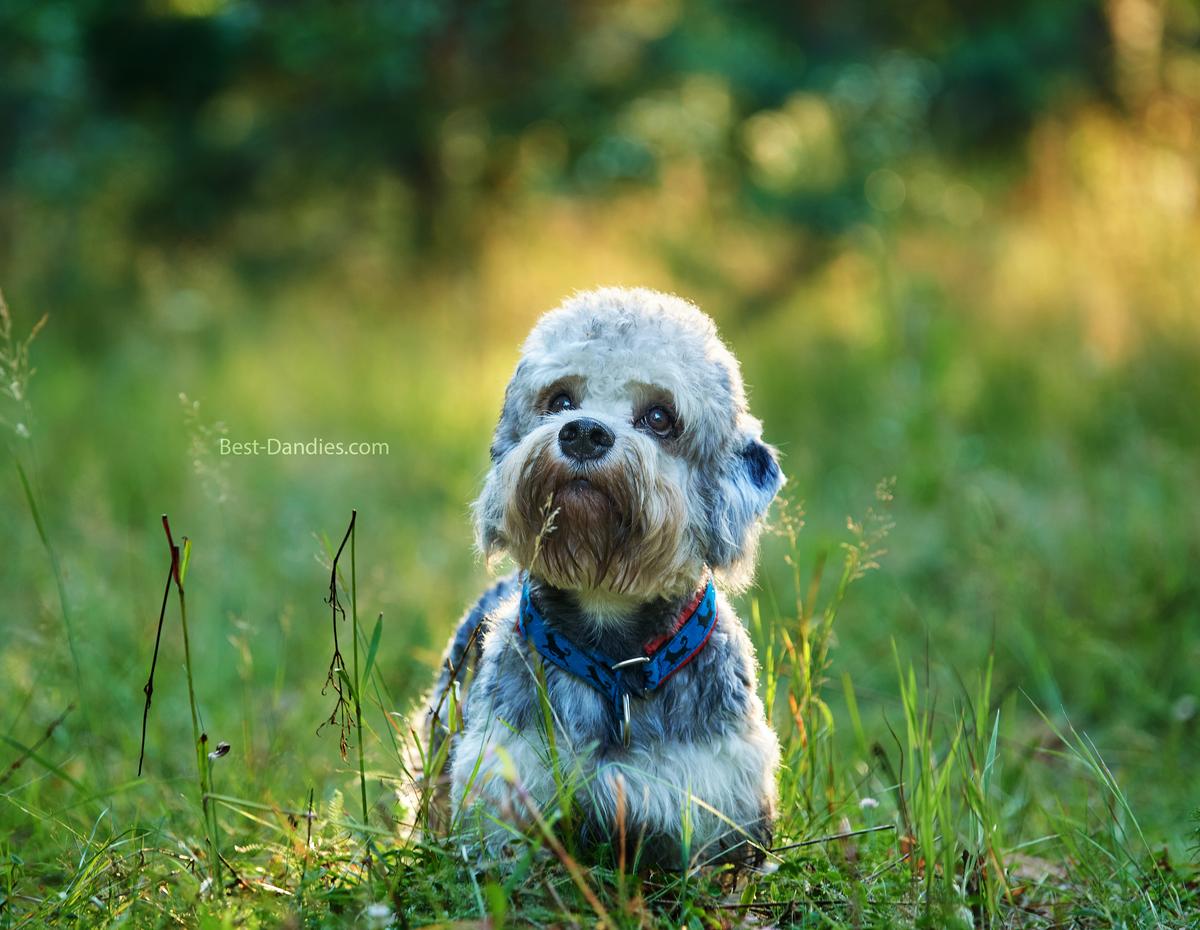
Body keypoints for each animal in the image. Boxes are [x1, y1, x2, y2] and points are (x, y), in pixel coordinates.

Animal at [427, 286, 782, 868]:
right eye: (560, 401)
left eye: (660, 417)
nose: (585, 433)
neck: (615, 667)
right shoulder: (506, 789)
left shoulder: (713, 808)